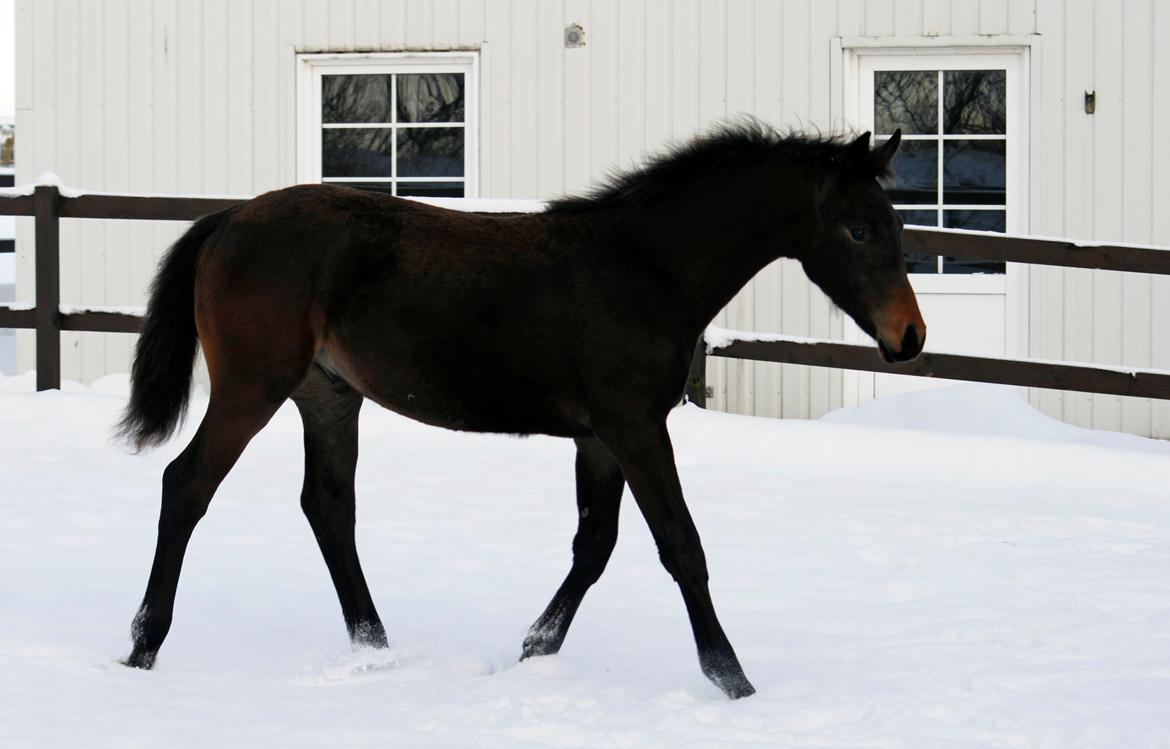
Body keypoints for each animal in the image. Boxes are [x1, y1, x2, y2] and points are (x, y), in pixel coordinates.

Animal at [116, 125, 921, 697]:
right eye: (857, 229)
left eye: (897, 226)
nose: (910, 337)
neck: (643, 270)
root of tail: (227, 220)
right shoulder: (635, 427)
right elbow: (680, 546)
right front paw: (734, 679)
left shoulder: (601, 438)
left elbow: (594, 545)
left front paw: (534, 648)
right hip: (252, 386)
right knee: (186, 486)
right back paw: (143, 647)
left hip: (328, 395)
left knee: (328, 506)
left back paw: (376, 649)